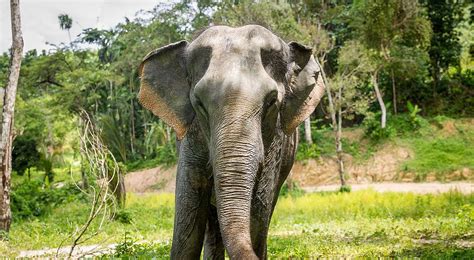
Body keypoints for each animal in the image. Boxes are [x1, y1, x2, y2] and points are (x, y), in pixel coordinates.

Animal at [138, 24, 326, 260]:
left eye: (272, 101)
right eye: (199, 103)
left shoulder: (276, 142)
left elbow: (258, 211)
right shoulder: (191, 139)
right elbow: (188, 222)